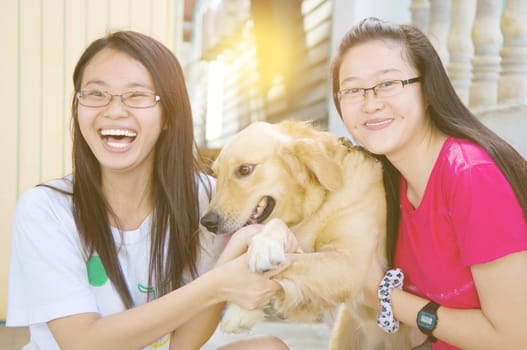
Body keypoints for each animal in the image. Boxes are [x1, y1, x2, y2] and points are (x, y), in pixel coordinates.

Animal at [200, 121, 422, 350]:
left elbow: (288, 262)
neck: (321, 202)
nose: (207, 222)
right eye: (216, 176)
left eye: (245, 170)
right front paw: (243, 311)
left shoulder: (349, 266)